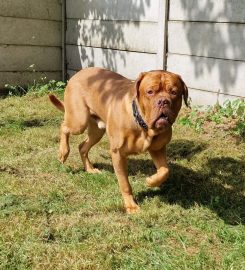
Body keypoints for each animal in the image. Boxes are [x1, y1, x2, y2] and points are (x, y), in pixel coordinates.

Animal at [48, 67, 189, 213]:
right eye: (150, 92)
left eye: (174, 92)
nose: (163, 101)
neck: (143, 126)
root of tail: (79, 73)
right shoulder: (118, 153)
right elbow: (125, 183)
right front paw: (131, 205)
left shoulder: (158, 149)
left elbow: (165, 171)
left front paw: (151, 181)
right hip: (78, 120)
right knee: (64, 127)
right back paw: (63, 152)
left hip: (97, 131)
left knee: (82, 146)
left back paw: (90, 169)